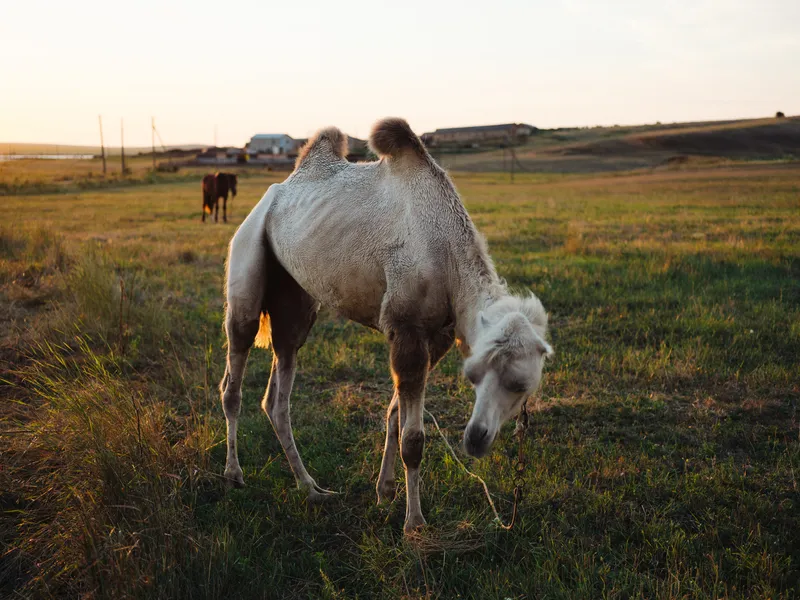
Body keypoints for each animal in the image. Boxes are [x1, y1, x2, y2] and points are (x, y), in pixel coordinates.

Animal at [220, 118, 552, 533]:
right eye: (473, 377)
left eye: (522, 386)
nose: (476, 439)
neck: (444, 251)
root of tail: (274, 194)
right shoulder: (405, 327)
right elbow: (414, 439)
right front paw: (414, 524)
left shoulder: (436, 336)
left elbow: (395, 415)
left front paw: (386, 491)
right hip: (247, 256)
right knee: (235, 371)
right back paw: (234, 475)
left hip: (294, 299)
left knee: (278, 388)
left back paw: (311, 488)